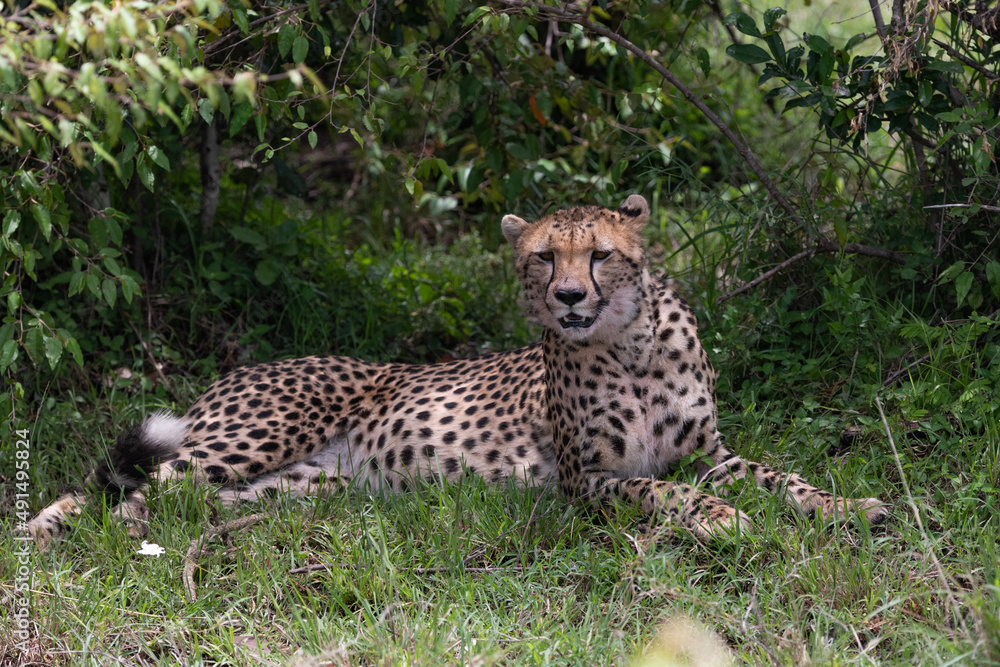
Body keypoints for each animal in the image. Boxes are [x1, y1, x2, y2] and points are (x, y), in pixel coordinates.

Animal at [27, 194, 888, 548]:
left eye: (599, 254)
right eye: (542, 257)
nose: (569, 296)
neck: (631, 347)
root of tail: (238, 372)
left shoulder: (713, 453)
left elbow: (785, 477)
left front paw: (851, 506)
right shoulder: (586, 482)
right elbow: (663, 491)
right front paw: (723, 520)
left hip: (297, 486)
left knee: (171, 495)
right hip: (250, 437)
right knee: (121, 483)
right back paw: (49, 532)